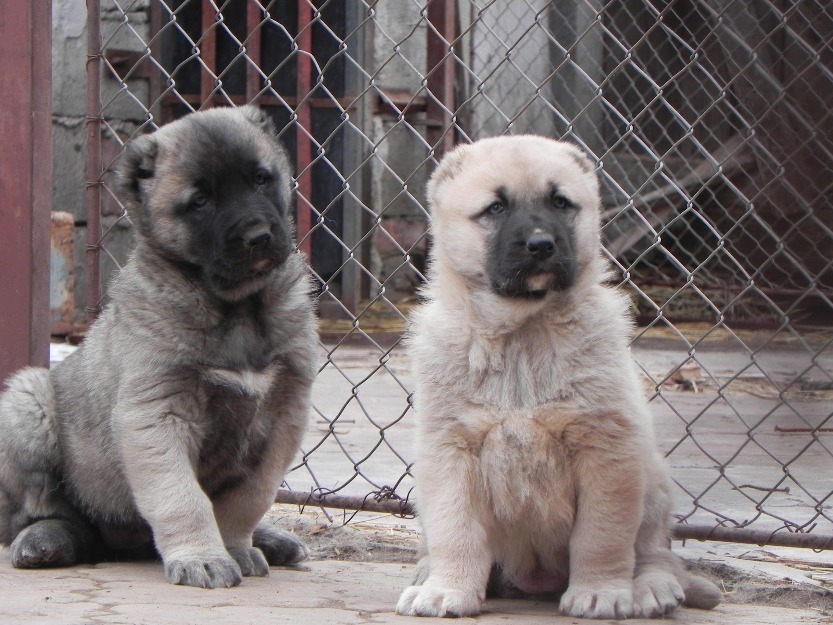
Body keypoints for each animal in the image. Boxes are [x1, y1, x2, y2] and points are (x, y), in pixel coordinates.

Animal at [0, 105, 316, 588]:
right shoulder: (156, 413)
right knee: (39, 513)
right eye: (200, 202)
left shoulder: (284, 417)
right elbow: (180, 496)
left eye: (261, 180)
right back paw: (47, 539)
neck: (237, 308)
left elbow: (249, 497)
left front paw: (235, 545)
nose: (258, 236)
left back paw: (273, 540)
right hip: (26, 403)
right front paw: (202, 557)